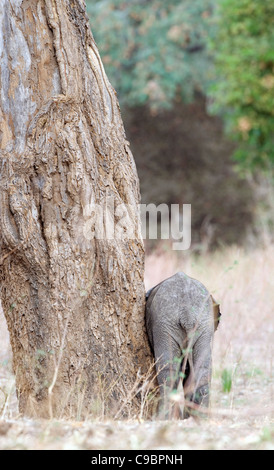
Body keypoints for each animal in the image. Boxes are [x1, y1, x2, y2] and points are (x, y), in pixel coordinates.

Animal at [146, 272, 220, 418]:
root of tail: (187, 313)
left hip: (165, 325)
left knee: (168, 372)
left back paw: (166, 417)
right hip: (201, 323)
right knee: (202, 370)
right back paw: (200, 418)